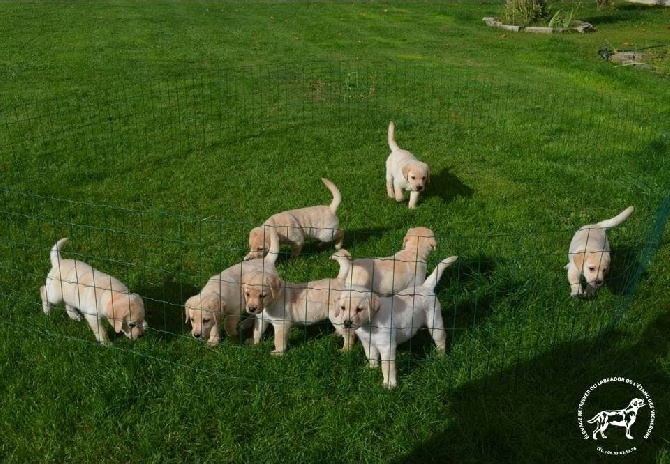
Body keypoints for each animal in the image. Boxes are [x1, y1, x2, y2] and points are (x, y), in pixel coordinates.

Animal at [334, 254, 456, 388]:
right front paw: (372, 369)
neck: (369, 324)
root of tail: (425, 287)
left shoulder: (387, 346)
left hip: (435, 321)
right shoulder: (367, 343)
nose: (347, 323)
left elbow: (386, 366)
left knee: (441, 338)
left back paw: (441, 356)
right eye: (342, 308)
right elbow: (371, 356)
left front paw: (390, 384)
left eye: (359, 309)